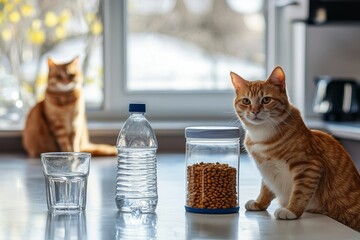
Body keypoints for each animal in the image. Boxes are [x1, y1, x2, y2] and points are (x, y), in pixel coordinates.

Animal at [231, 66, 360, 232]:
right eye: (246, 101)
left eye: (266, 100)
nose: (254, 111)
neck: (261, 135)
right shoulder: (267, 170)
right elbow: (266, 188)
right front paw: (260, 203)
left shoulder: (308, 166)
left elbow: (300, 192)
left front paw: (291, 210)